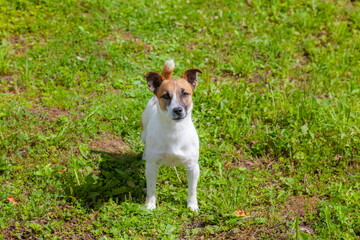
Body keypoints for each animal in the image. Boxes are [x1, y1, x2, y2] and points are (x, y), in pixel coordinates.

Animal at [141, 59, 202, 210]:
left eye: (185, 93)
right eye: (165, 96)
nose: (177, 110)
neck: (174, 130)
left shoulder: (193, 167)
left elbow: (192, 189)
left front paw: (192, 205)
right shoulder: (152, 167)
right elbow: (151, 188)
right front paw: (150, 205)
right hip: (143, 133)